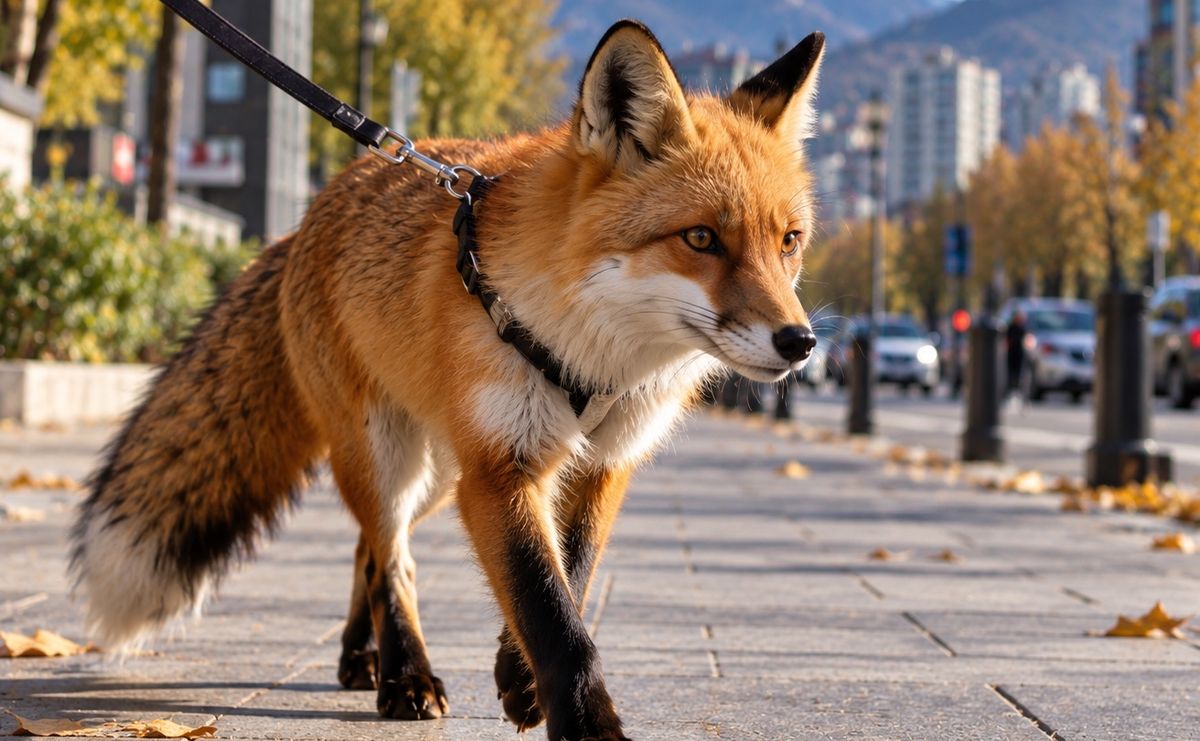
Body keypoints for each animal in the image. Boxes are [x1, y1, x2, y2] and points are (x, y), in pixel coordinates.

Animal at [70, 20, 825, 741]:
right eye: (700, 239)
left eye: (788, 241)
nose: (801, 343)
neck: (594, 352)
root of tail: (307, 217)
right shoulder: (497, 466)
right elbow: (550, 609)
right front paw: (588, 724)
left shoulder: (601, 464)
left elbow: (571, 577)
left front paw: (521, 679)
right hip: (386, 453)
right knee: (390, 559)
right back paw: (405, 675)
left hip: (435, 471)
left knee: (369, 550)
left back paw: (360, 657)